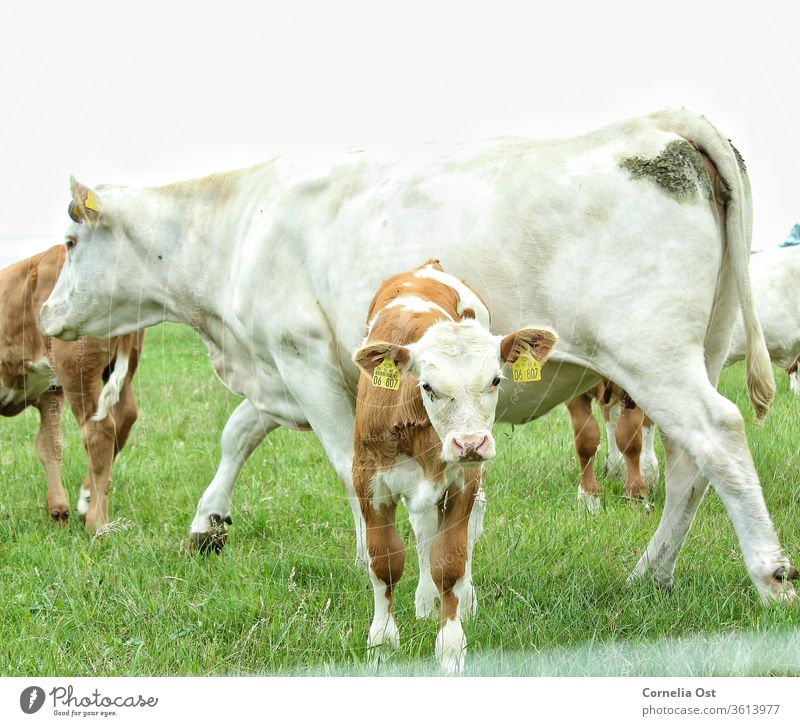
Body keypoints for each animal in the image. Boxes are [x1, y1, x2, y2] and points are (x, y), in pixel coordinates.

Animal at [0, 247, 144, 532]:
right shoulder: (49, 391)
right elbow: (48, 445)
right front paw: (57, 510)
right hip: (121, 365)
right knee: (124, 416)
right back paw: (86, 501)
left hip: (75, 368)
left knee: (98, 431)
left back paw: (97, 522)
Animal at [354, 258, 560, 672]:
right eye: (428, 386)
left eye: (496, 380)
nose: (469, 443)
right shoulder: (368, 482)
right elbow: (384, 563)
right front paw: (382, 645)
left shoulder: (463, 482)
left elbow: (449, 561)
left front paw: (450, 650)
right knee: (422, 532)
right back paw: (424, 602)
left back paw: (461, 600)